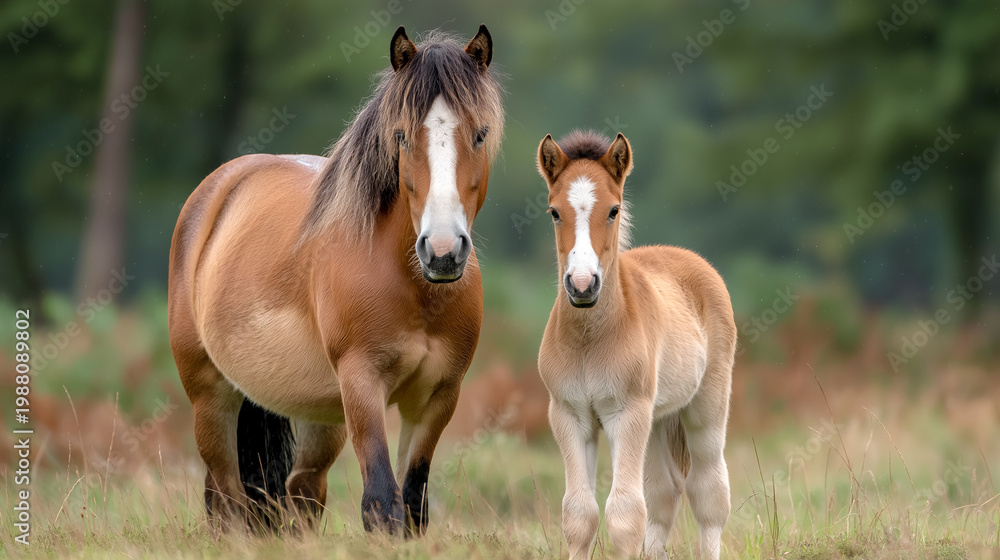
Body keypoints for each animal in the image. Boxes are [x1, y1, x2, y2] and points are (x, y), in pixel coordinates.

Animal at [167, 25, 503, 535]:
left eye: (480, 135)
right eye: (401, 136)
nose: (443, 250)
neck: (412, 287)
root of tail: (218, 191)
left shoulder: (438, 397)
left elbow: (413, 503)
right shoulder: (361, 382)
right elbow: (382, 503)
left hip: (318, 415)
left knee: (301, 492)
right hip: (211, 394)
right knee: (227, 495)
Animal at [535, 131, 736, 559]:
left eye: (613, 210)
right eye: (554, 212)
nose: (582, 285)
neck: (590, 340)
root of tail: (686, 256)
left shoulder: (626, 414)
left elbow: (625, 514)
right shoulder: (569, 415)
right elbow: (579, 514)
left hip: (704, 409)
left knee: (708, 494)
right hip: (658, 418)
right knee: (664, 494)